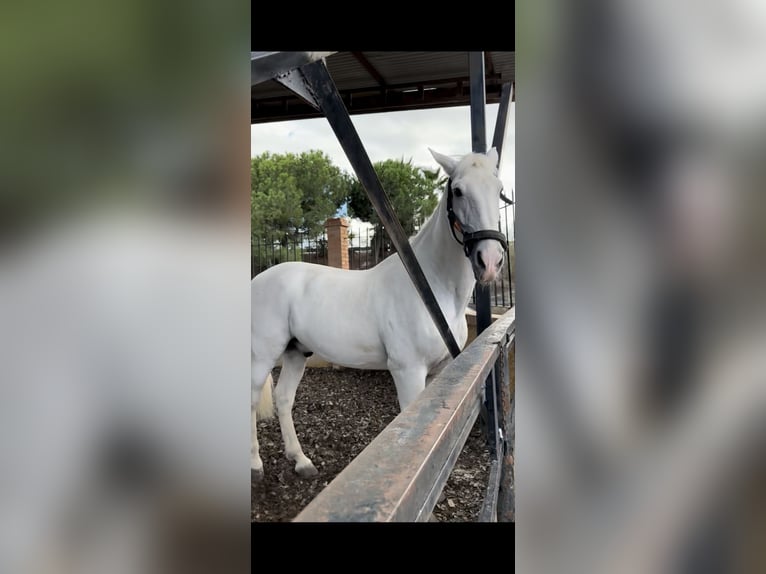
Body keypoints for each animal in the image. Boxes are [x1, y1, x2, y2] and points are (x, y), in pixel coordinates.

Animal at [251, 148, 508, 479]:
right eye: (459, 191)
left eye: (499, 190)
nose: (489, 261)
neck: (429, 286)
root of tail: (257, 280)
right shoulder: (408, 372)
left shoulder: (437, 373)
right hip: (262, 356)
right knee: (252, 400)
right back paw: (255, 465)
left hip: (296, 352)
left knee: (283, 399)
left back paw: (301, 461)